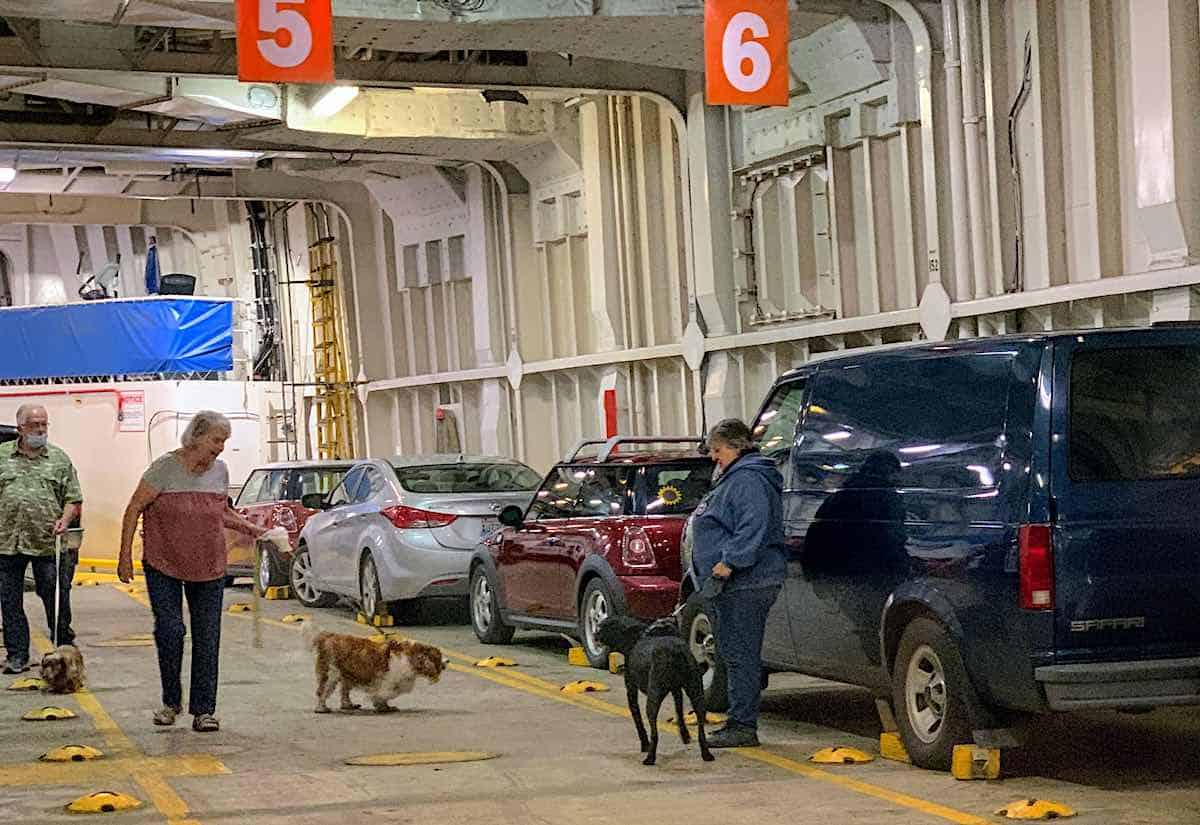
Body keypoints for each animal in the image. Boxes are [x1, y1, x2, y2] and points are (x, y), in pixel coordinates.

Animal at [307, 633, 448, 709]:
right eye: (438, 657)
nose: (447, 662)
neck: (410, 657)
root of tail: (327, 637)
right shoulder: (387, 682)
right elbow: (385, 694)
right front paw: (381, 705)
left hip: (347, 675)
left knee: (344, 693)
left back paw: (348, 705)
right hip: (330, 674)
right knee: (323, 691)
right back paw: (322, 708)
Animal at [597, 611, 710, 767]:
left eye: (602, 626)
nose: (595, 634)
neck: (634, 637)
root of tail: (675, 651)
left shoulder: (631, 691)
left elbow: (638, 721)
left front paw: (644, 744)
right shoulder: (676, 691)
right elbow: (679, 713)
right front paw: (685, 735)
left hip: (654, 695)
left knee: (654, 731)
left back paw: (650, 757)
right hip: (697, 693)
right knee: (701, 728)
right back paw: (706, 754)